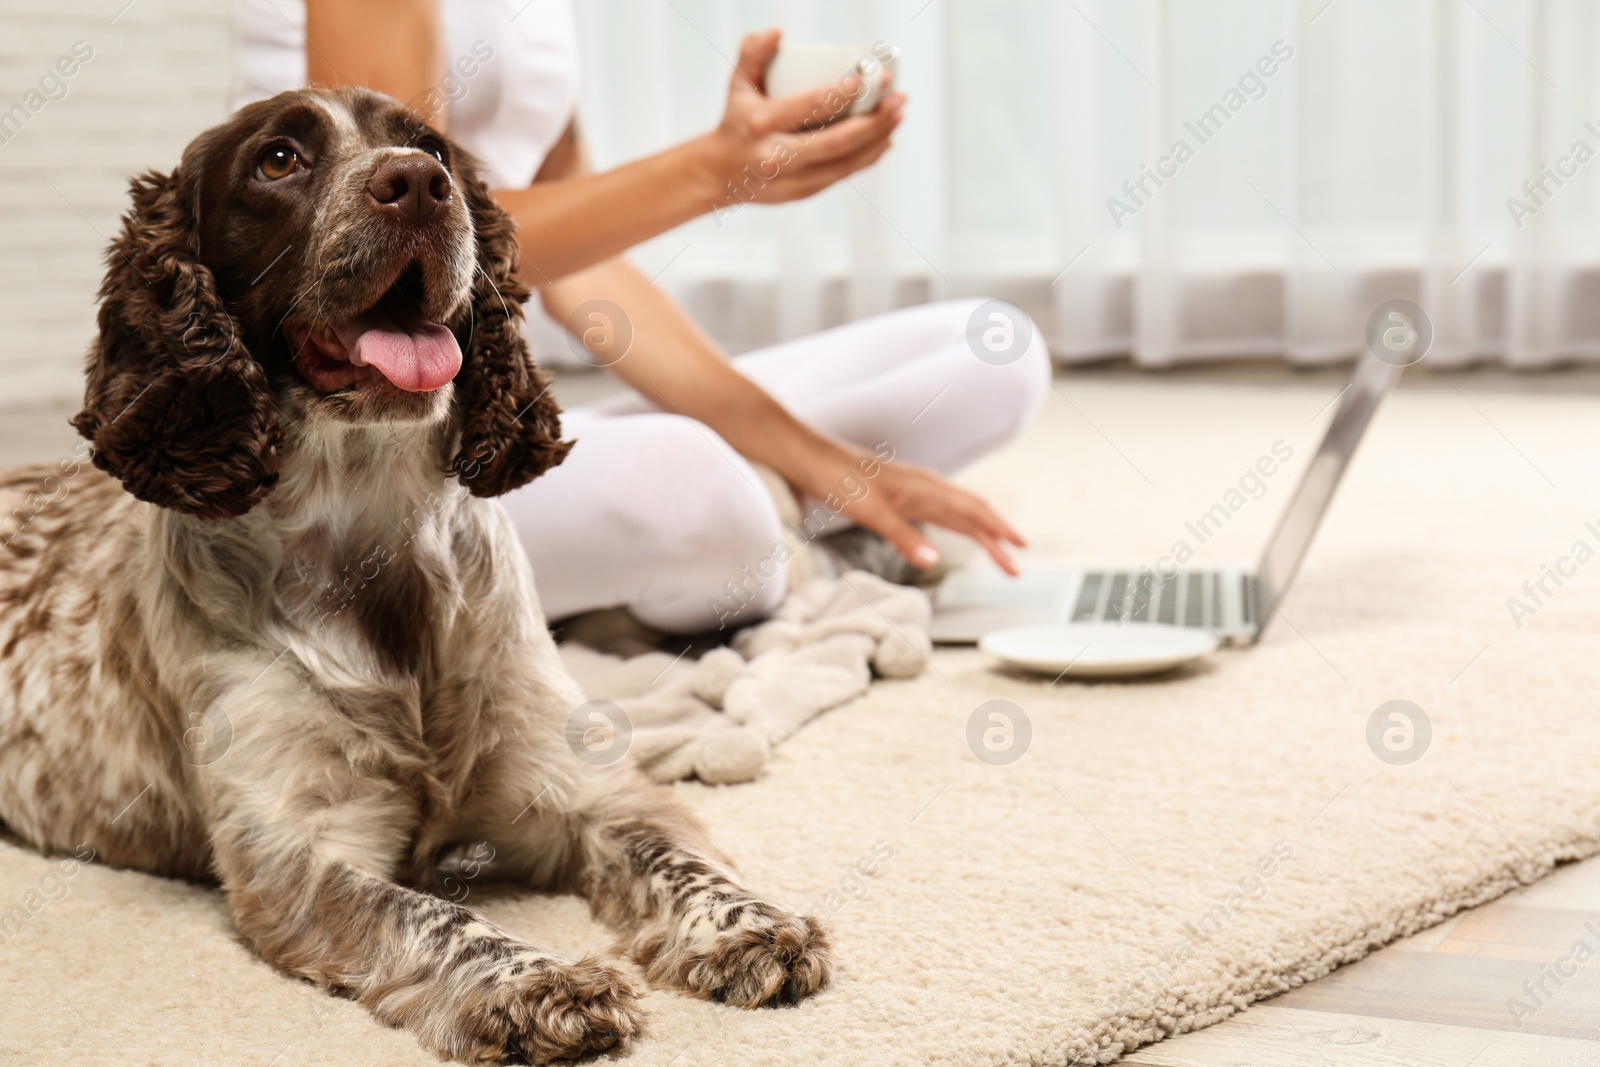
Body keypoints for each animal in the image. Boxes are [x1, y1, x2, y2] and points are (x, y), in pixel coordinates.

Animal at [0, 87, 825, 1062]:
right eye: (278, 159)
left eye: (431, 149)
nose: (419, 186)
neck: (376, 540)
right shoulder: (301, 850)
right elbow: (432, 915)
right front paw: (537, 982)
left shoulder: (583, 789)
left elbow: (680, 857)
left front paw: (748, 925)